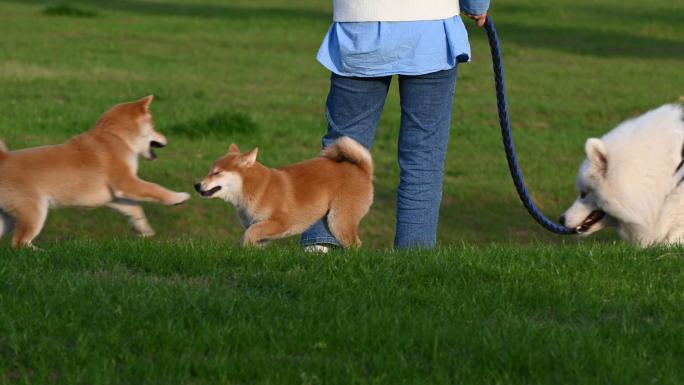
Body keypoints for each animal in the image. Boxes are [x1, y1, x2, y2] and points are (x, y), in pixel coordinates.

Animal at [0, 94, 190, 248]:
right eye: (154, 125)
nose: (166, 139)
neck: (116, 137)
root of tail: (4, 159)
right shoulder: (127, 183)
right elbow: (155, 189)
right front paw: (178, 197)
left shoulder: (114, 196)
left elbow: (135, 208)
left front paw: (142, 227)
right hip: (34, 211)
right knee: (19, 243)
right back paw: (42, 252)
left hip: (6, 218)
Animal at [192, 136, 374, 248]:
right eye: (209, 171)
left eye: (216, 173)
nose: (196, 185)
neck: (256, 188)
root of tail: (362, 170)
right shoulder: (261, 231)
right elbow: (253, 237)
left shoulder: (280, 222)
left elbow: (250, 233)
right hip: (330, 221)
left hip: (339, 220)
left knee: (355, 244)